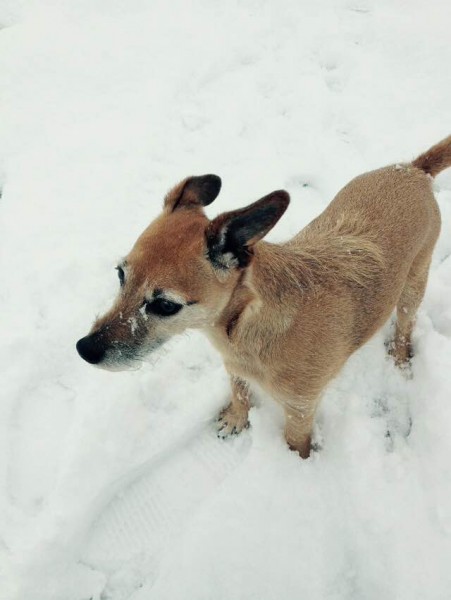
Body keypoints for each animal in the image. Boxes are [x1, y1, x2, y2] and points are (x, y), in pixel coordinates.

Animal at [77, 134, 451, 458]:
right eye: (120, 274)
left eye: (165, 305)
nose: (84, 349)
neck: (241, 325)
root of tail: (412, 169)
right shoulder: (234, 368)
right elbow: (240, 392)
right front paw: (237, 418)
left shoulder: (300, 408)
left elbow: (295, 441)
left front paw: (295, 465)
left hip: (413, 286)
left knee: (405, 326)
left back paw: (400, 358)